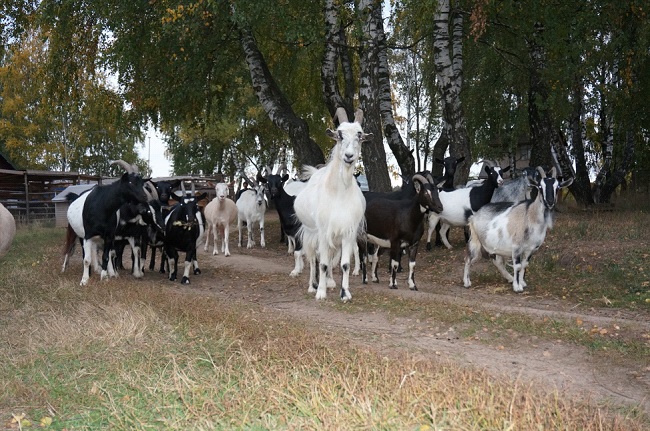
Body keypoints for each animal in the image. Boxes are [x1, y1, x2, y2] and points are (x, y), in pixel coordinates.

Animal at [292, 108, 370, 302]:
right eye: (339, 135)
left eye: (359, 135)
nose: (349, 156)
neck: (339, 194)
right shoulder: (322, 231)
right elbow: (323, 263)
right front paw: (320, 292)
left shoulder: (347, 232)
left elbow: (344, 264)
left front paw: (345, 292)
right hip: (310, 233)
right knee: (313, 258)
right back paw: (312, 285)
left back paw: (330, 281)